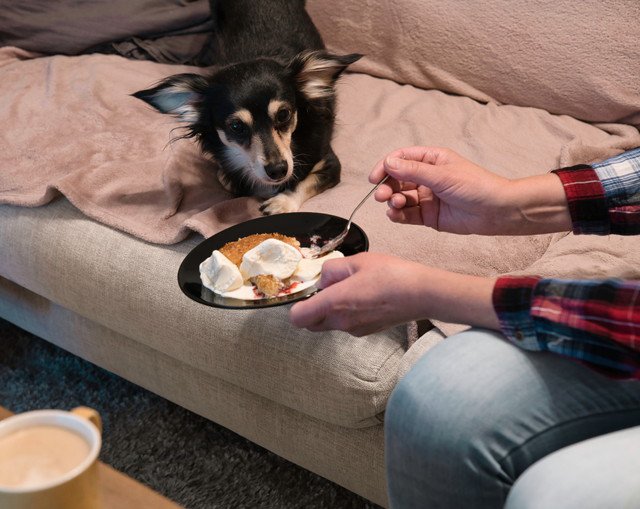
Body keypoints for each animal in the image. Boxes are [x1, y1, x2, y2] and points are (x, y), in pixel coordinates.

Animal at [134, 0, 360, 212]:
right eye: (236, 127)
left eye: (284, 114)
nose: (278, 170)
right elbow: (229, 179)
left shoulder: (329, 164)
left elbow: (304, 182)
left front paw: (282, 202)